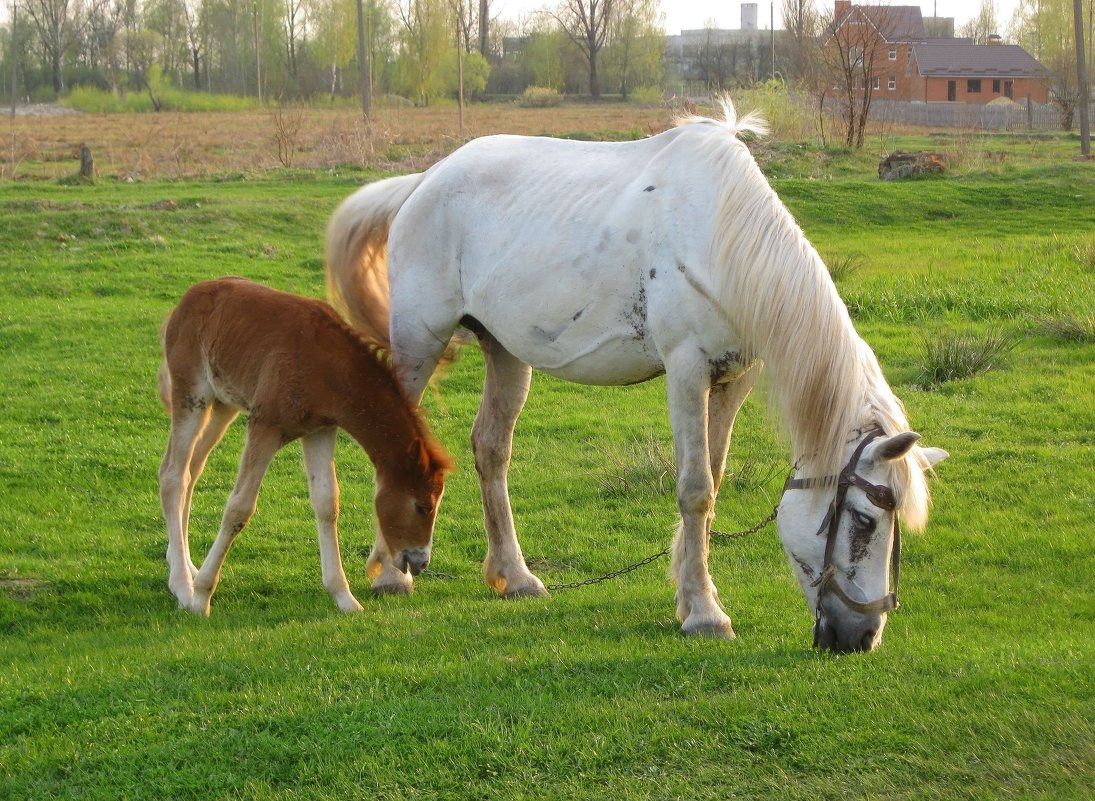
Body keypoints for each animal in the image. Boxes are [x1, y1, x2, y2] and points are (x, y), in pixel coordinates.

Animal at [321, 100, 941, 652]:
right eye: (863, 521)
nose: (862, 638)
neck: (720, 236)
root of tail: (425, 180)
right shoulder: (686, 369)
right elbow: (695, 490)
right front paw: (706, 615)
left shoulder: (732, 380)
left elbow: (714, 480)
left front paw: (692, 597)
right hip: (419, 341)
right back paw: (390, 574)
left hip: (506, 353)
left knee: (491, 449)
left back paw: (515, 577)